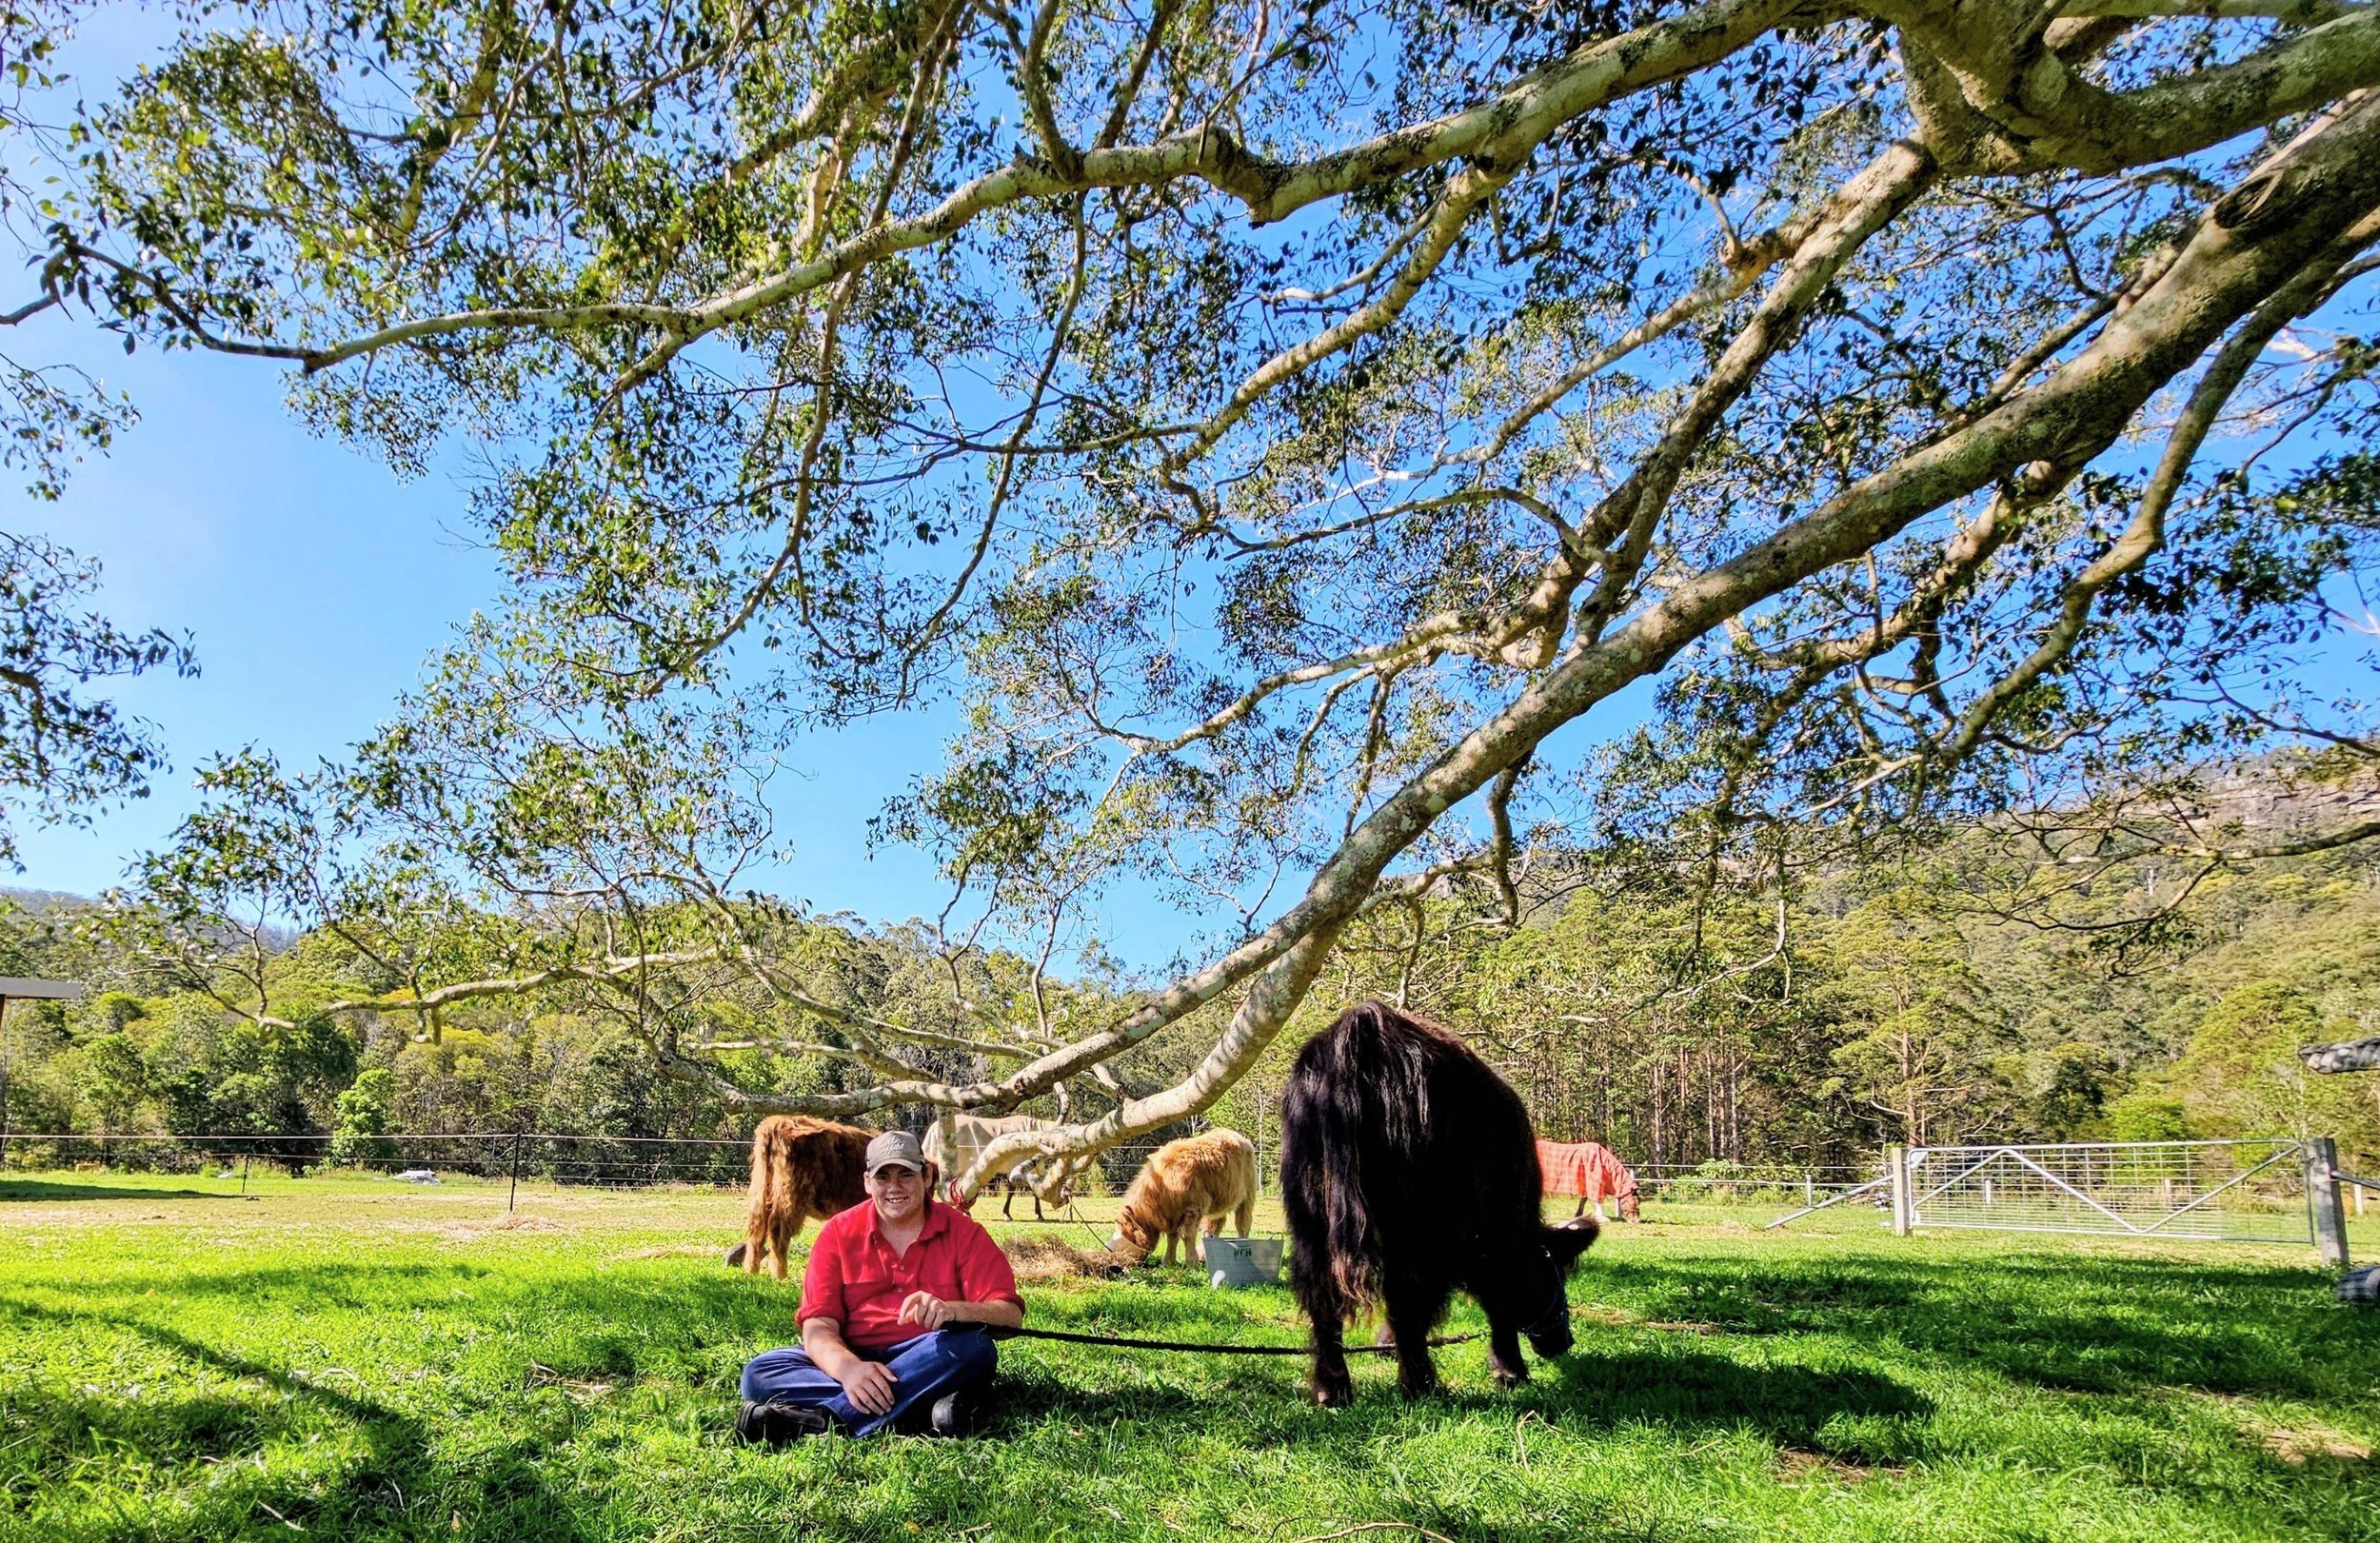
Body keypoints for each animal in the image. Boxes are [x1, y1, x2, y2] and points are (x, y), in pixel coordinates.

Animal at [1281, 1001, 1599, 1405]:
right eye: (1553, 1272)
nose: (1563, 1342)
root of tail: (1364, 1027)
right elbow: (1495, 1304)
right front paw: (1510, 1370)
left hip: (1310, 1214)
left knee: (1321, 1294)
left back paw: (1332, 1389)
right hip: (1412, 1224)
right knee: (1403, 1297)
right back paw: (1421, 1384)